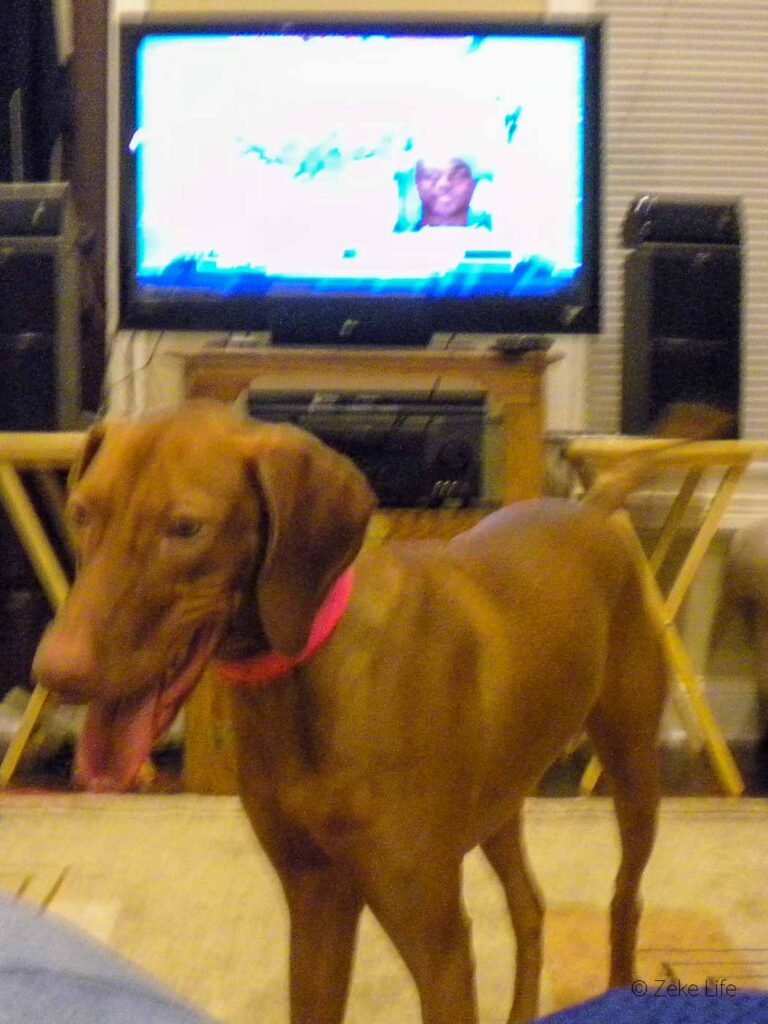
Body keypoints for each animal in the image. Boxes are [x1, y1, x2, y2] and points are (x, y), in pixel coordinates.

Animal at [34, 399, 667, 1024]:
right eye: (81, 513)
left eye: (185, 528)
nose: (54, 672)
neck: (301, 681)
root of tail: (590, 512)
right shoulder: (317, 900)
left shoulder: (437, 940)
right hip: (500, 802)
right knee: (530, 905)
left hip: (632, 768)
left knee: (626, 898)